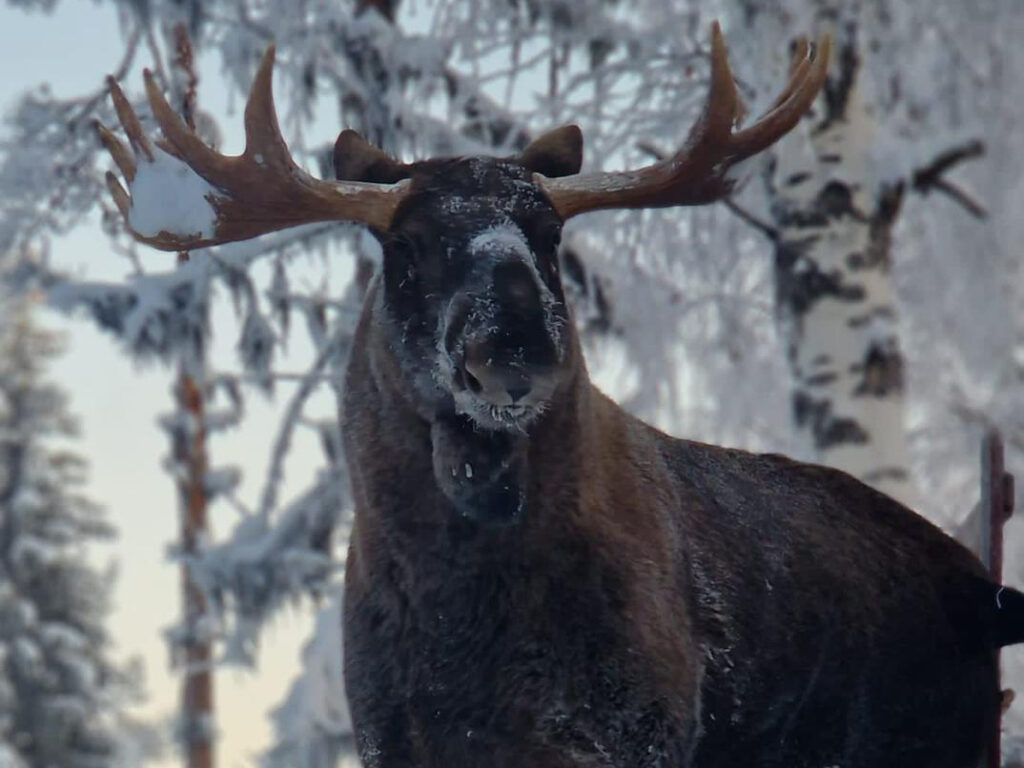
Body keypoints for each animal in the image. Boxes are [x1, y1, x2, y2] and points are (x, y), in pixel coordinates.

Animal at [97, 24, 1024, 768]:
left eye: (549, 238)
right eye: (409, 246)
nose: (513, 356)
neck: (458, 611)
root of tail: (984, 592)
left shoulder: (636, 728)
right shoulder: (393, 740)